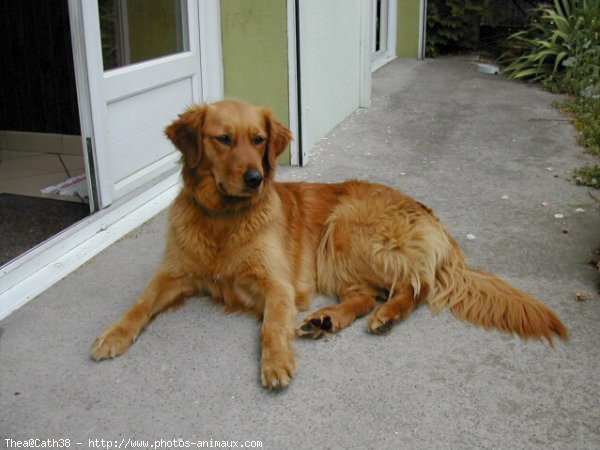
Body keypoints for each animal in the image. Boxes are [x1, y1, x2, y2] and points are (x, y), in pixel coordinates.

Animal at [91, 100, 568, 388]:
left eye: (259, 140)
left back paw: (385, 317)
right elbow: (139, 304)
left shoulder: (279, 286)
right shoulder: (173, 274)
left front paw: (276, 362)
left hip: (344, 229)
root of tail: (432, 217)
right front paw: (114, 334)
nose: (256, 178)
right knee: (366, 295)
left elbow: (270, 326)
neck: (223, 221)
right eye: (223, 139)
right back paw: (327, 320)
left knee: (415, 287)